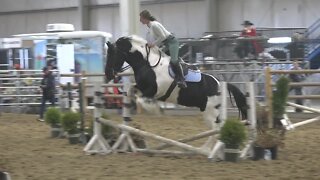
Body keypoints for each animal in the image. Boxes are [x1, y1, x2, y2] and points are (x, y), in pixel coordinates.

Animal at [105, 34, 248, 148]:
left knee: (215, 131)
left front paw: (156, 110)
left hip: (211, 112)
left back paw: (206, 150)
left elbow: (142, 100)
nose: (107, 74)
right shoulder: (141, 86)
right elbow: (131, 90)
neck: (147, 64)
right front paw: (127, 106)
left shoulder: (153, 91)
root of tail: (221, 84)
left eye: (112, 54)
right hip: (209, 112)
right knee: (216, 130)